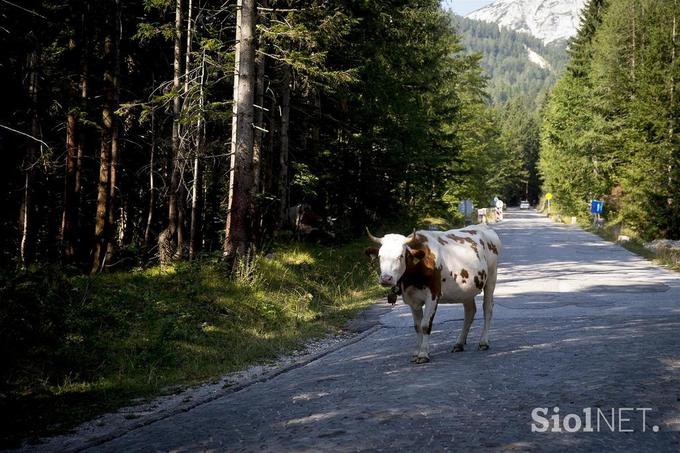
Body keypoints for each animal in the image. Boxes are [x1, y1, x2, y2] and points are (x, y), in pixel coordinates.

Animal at [366, 225, 500, 364]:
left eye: (400, 256)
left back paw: (483, 342)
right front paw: (416, 352)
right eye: (380, 256)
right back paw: (459, 343)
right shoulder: (412, 300)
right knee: (470, 311)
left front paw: (423, 354)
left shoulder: (433, 294)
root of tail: (483, 226)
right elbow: (417, 326)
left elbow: (425, 325)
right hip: (465, 290)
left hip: (491, 277)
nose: (386, 279)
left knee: (487, 308)